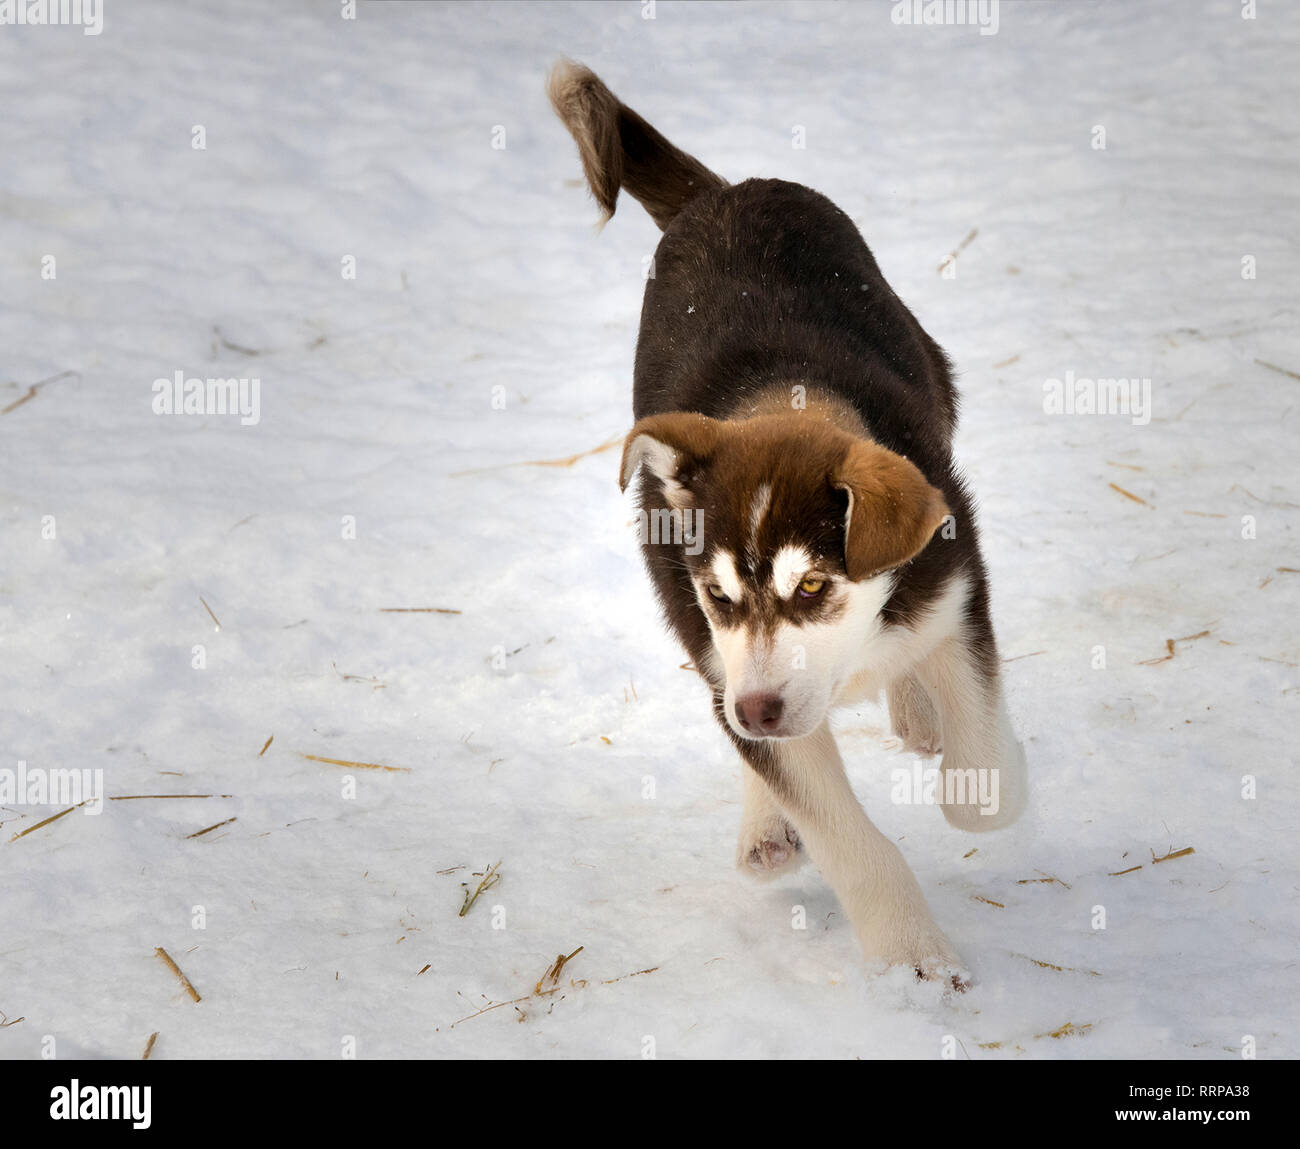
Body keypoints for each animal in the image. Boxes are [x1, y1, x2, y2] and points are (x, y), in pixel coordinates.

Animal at [548, 58, 1024, 982]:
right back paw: (766, 827)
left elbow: (983, 785)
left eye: (812, 586)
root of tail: (726, 192)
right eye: (720, 595)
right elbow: (838, 830)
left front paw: (992, 768)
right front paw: (912, 957)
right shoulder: (719, 655)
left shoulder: (954, 587)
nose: (761, 709)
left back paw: (914, 714)